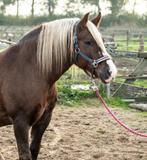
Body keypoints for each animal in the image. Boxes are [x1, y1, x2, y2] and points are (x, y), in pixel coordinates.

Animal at [0, 12, 117, 160]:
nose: (111, 72)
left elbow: (34, 150)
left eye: (102, 40)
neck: (29, 71)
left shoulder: (43, 121)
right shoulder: (20, 123)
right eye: (88, 42)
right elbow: (25, 155)